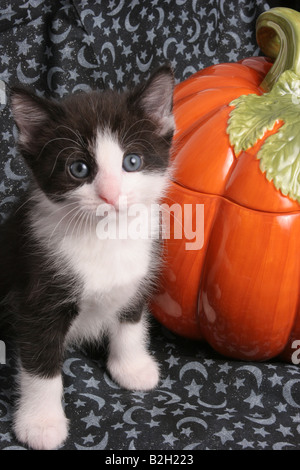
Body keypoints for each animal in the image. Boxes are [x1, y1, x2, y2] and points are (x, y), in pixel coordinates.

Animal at [0, 64, 175, 450]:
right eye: (78, 169)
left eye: (132, 162)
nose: (110, 195)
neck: (105, 237)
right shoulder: (37, 297)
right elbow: (40, 365)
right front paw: (41, 423)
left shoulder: (139, 273)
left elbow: (131, 321)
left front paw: (132, 367)